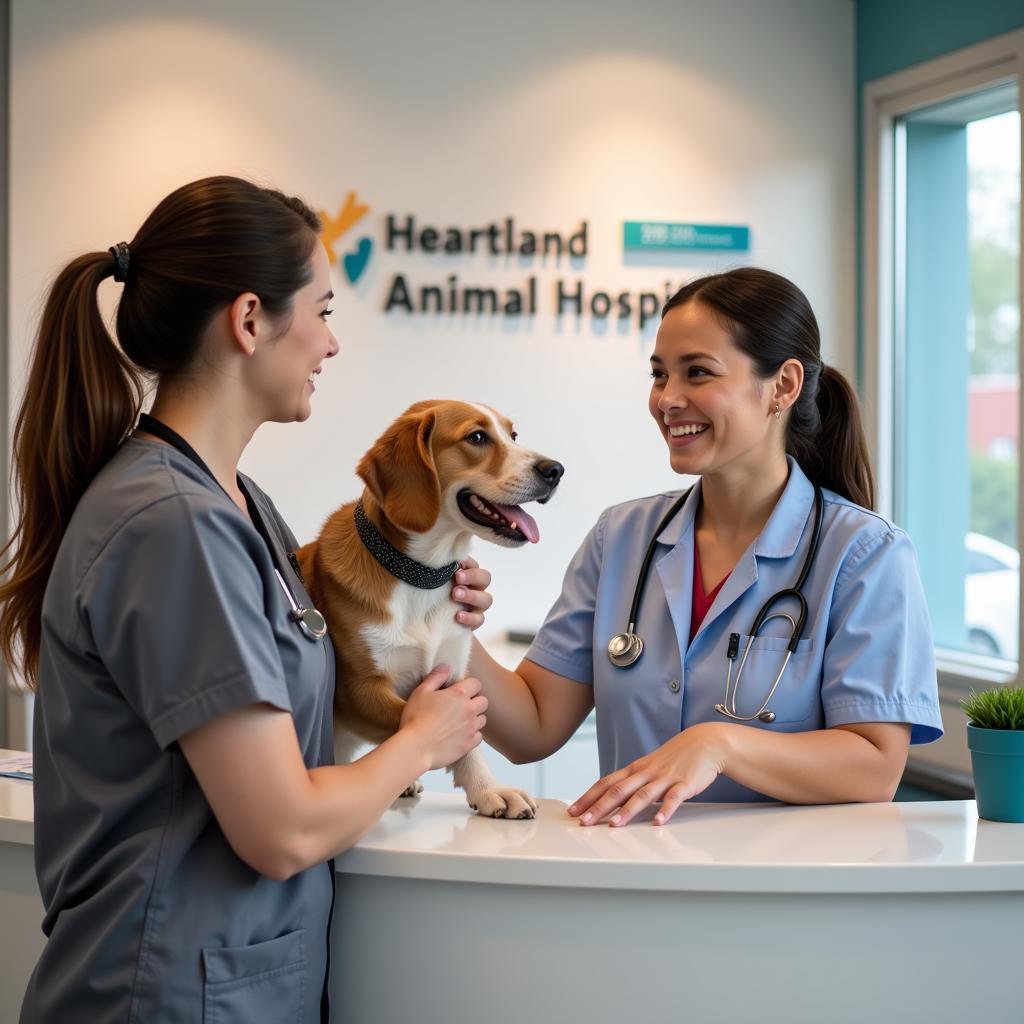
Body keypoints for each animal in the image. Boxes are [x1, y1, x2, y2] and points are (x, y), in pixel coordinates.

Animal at [296, 397, 565, 815]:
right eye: (477, 437)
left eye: (513, 435)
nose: (555, 470)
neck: (420, 575)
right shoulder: (359, 689)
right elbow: (427, 729)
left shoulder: (453, 670)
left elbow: (470, 744)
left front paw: (486, 787)